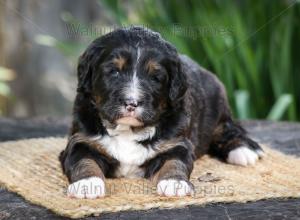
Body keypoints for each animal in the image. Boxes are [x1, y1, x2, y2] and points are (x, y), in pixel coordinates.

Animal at [59, 26, 264, 199]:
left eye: (155, 78)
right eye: (114, 72)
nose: (131, 103)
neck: (127, 129)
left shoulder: (177, 143)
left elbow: (174, 162)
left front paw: (175, 183)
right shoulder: (81, 140)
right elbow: (83, 160)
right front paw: (87, 183)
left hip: (218, 107)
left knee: (228, 129)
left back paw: (243, 150)